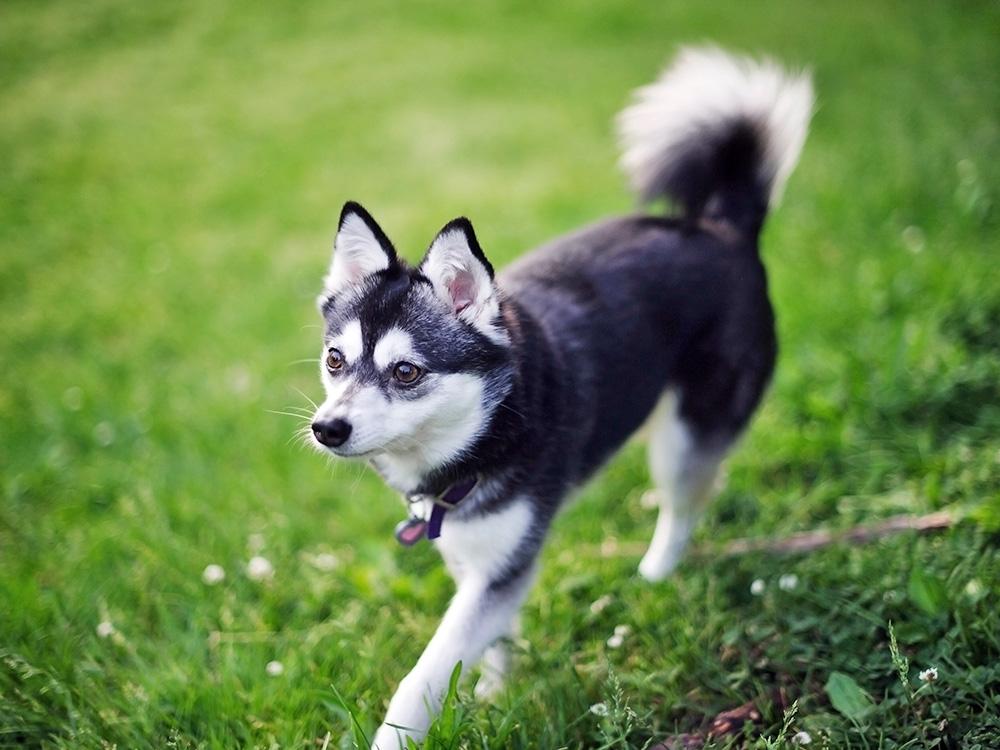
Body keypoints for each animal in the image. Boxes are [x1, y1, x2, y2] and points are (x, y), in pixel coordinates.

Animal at [310, 48, 812, 750]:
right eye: (336, 360)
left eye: (406, 372)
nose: (326, 428)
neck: (487, 426)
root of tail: (721, 228)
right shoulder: (481, 556)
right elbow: (492, 639)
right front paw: (496, 694)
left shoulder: (502, 559)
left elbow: (423, 675)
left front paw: (399, 733)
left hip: (685, 436)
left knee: (685, 505)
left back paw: (655, 577)